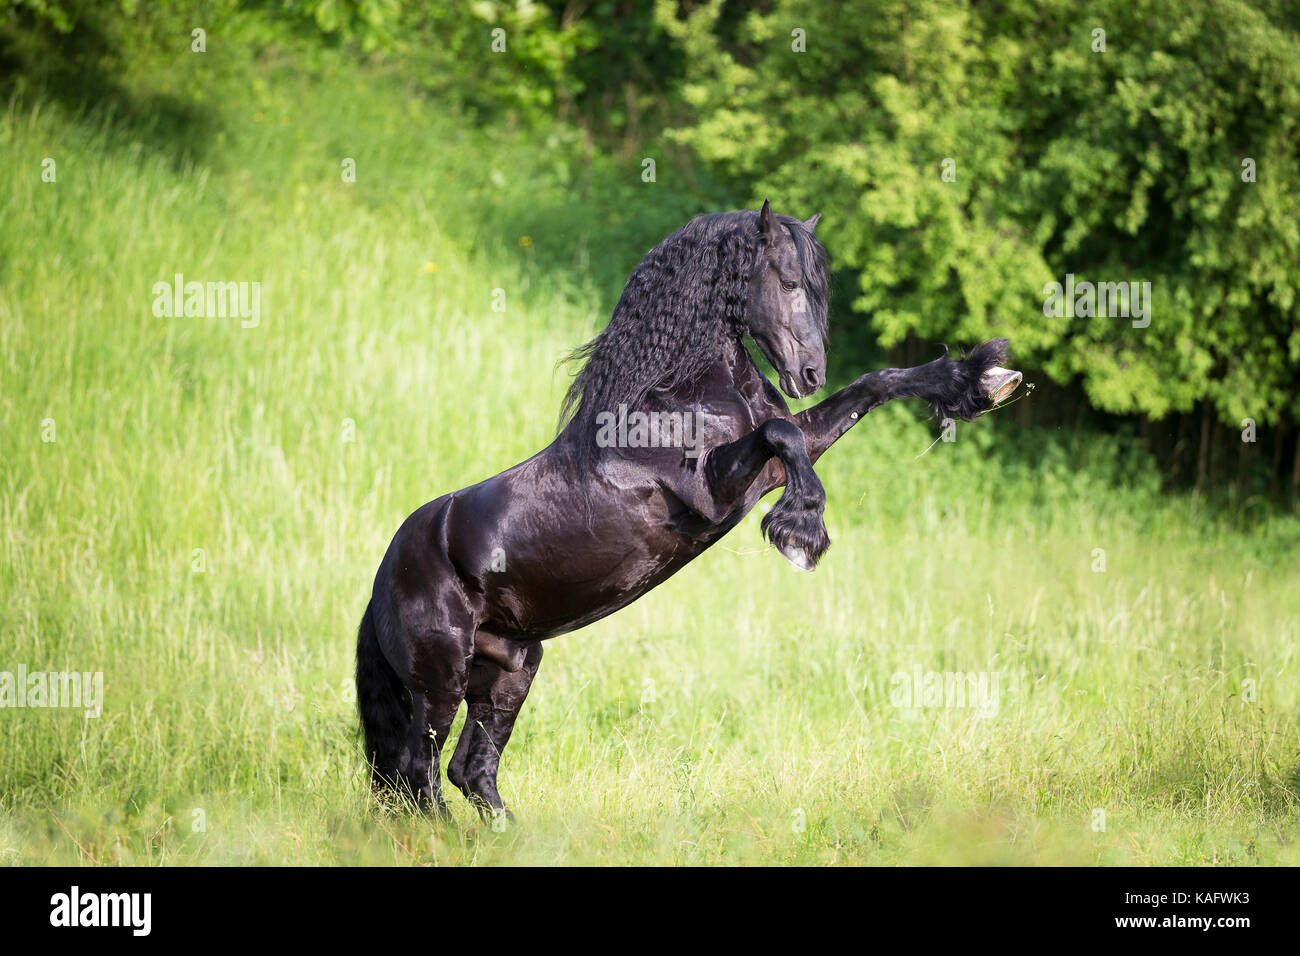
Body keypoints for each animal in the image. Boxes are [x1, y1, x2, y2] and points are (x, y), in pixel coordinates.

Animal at [356, 201, 1022, 818]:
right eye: (788, 282)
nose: (810, 372)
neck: (676, 393)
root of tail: (386, 574)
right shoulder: (714, 494)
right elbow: (782, 431)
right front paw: (800, 532)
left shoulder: (774, 462)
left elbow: (865, 389)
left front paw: (979, 381)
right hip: (441, 678)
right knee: (419, 769)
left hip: (511, 667)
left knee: (472, 769)